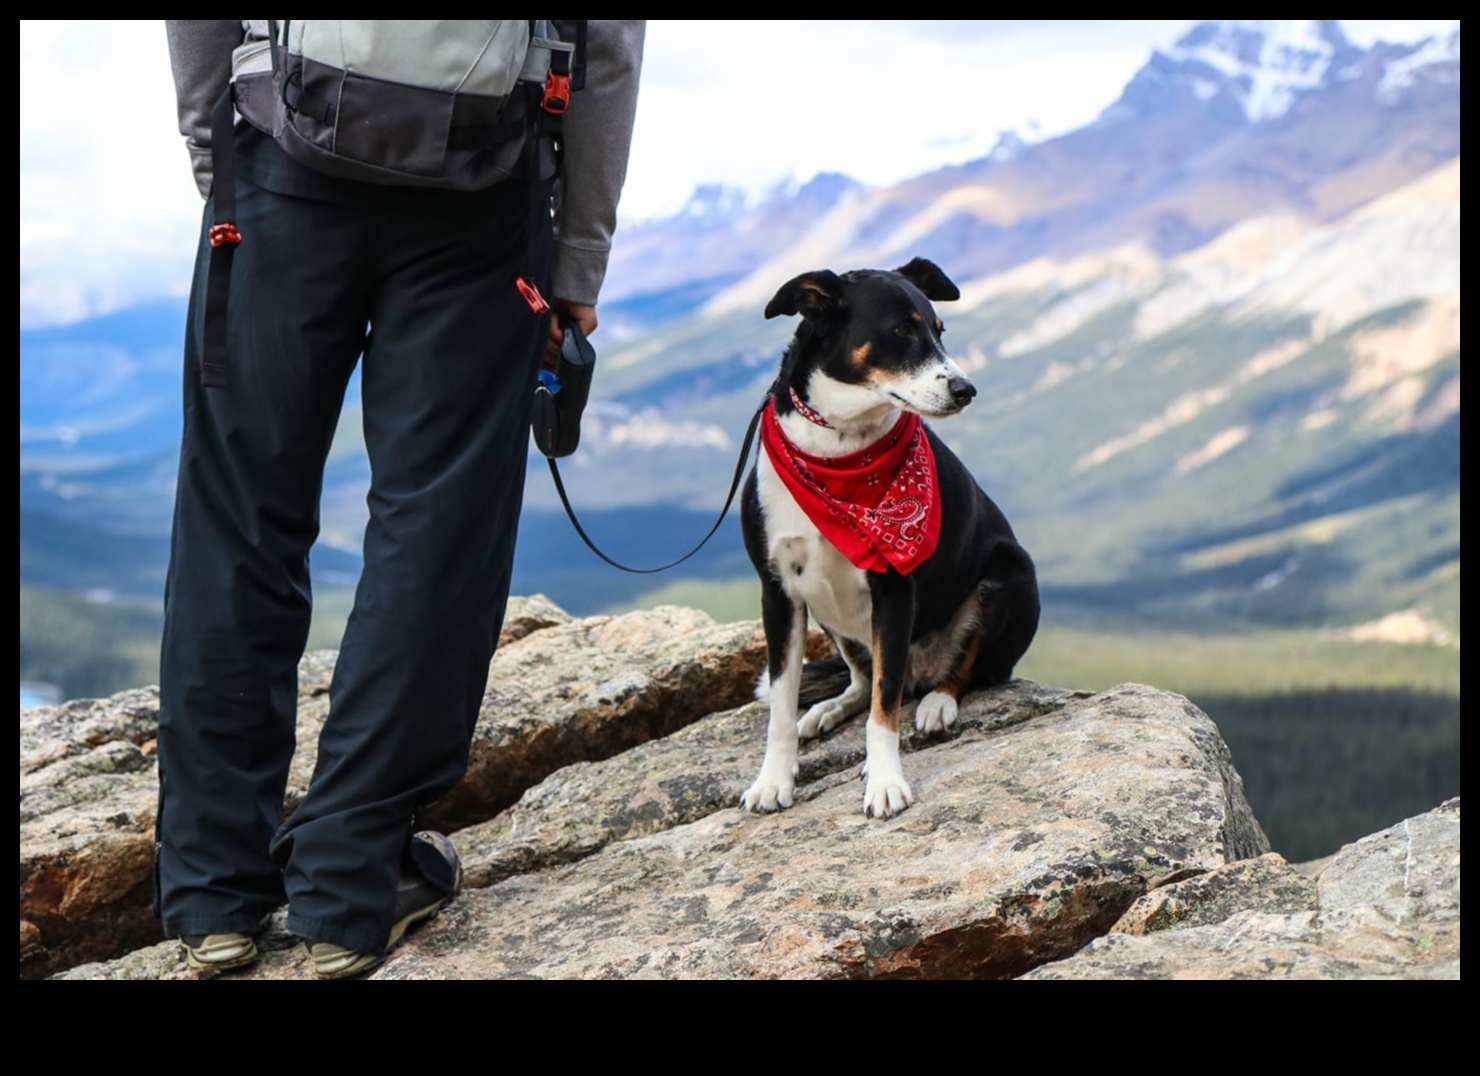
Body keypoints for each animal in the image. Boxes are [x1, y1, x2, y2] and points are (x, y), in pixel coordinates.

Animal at [740, 259, 1041, 816]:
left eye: (940, 330)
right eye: (901, 330)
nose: (966, 389)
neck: (837, 451)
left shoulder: (894, 590)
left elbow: (886, 710)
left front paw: (883, 782)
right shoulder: (779, 592)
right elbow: (782, 705)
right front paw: (773, 780)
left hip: (1012, 572)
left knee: (962, 672)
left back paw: (937, 702)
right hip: (831, 614)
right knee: (862, 679)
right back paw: (828, 708)